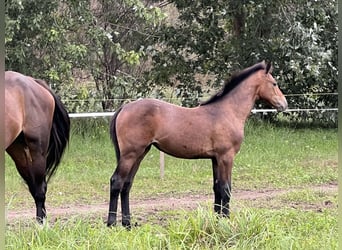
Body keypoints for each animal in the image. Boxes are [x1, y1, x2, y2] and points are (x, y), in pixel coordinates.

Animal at [5, 71, 70, 223]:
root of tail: (33, 81)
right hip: (18, 152)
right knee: (34, 187)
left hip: (37, 150)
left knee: (40, 189)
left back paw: (41, 224)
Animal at [106, 61, 286, 228]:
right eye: (274, 83)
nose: (284, 104)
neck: (227, 111)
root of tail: (124, 107)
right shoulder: (226, 157)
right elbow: (226, 190)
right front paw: (226, 222)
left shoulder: (215, 159)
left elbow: (217, 188)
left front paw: (217, 221)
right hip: (130, 154)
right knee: (116, 181)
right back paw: (111, 223)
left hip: (140, 153)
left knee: (127, 184)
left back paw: (128, 224)